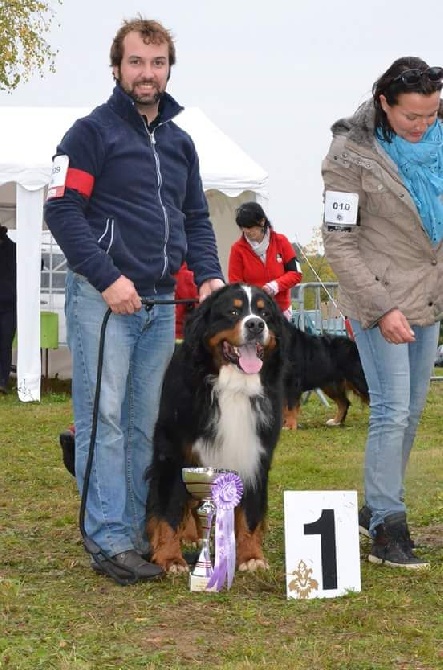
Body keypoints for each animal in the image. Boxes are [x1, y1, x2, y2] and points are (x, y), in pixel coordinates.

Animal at [146, 284, 288, 572]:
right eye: (233, 312)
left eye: (264, 313)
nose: (256, 325)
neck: (234, 388)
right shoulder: (173, 453)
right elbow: (168, 508)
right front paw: (169, 556)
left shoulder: (254, 454)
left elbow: (251, 513)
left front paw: (251, 556)